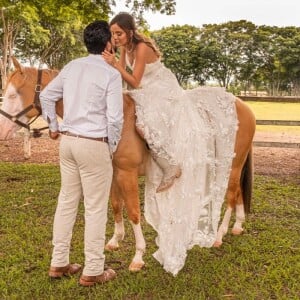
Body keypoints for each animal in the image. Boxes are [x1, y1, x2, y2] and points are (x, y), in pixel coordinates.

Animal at [0, 57, 256, 270]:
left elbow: (133, 211)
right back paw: (237, 226)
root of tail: (243, 105)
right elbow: (115, 204)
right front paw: (115, 239)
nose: (2, 130)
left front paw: (138, 256)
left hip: (231, 166)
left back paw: (218, 236)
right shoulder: (113, 172)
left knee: (231, 195)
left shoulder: (127, 173)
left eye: (12, 95)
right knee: (238, 194)